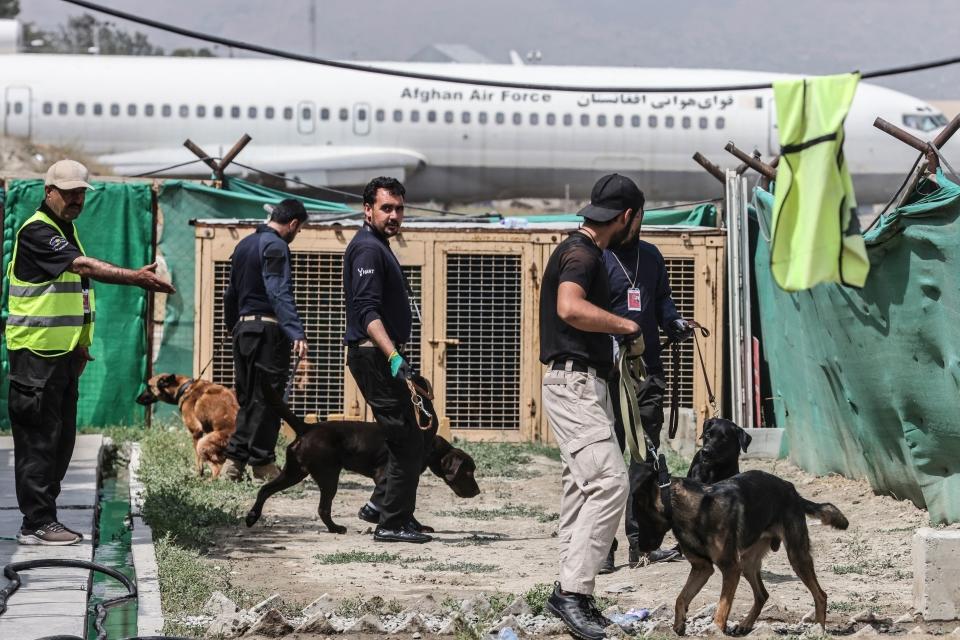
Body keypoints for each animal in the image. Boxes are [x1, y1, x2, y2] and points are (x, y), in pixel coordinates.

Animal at [242, 372, 478, 532]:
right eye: (467, 472)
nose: (477, 492)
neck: (429, 447)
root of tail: (308, 427)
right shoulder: (387, 475)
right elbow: (402, 505)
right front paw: (410, 526)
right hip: (328, 476)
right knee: (323, 508)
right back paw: (336, 528)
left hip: (294, 472)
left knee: (265, 489)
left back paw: (252, 517)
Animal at [632, 464, 848, 636]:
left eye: (640, 517)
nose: (640, 549)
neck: (694, 510)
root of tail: (791, 490)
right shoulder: (702, 568)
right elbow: (681, 598)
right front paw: (679, 624)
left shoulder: (730, 568)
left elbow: (722, 607)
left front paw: (715, 630)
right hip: (747, 564)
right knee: (762, 595)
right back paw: (745, 624)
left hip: (796, 557)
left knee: (820, 595)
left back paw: (818, 628)